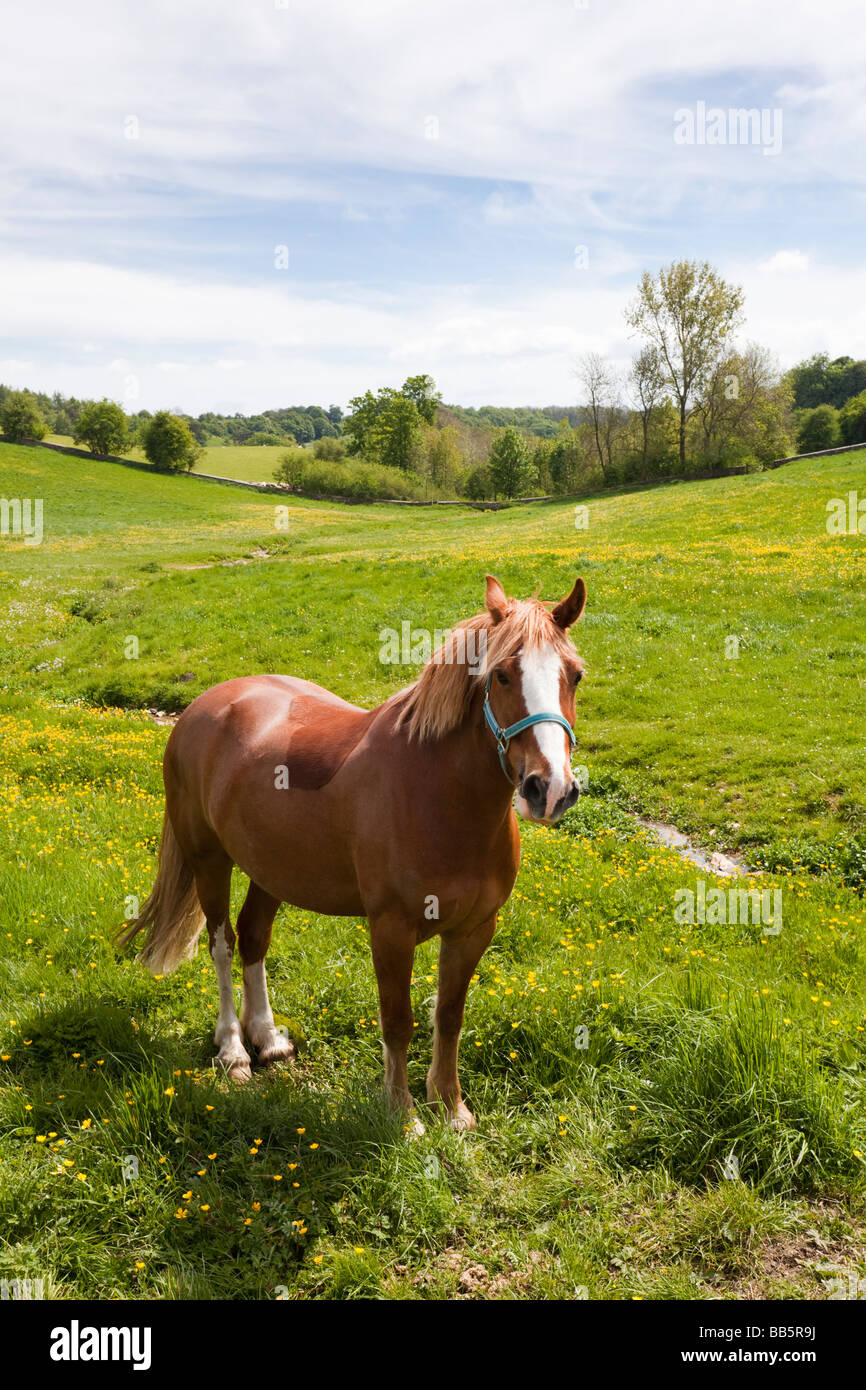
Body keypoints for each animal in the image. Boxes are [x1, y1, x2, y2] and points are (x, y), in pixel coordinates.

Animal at [119, 572, 587, 1131]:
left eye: (575, 676)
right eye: (501, 676)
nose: (550, 789)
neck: (439, 796)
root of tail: (203, 705)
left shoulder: (474, 929)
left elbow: (449, 1016)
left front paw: (452, 1109)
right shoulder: (390, 929)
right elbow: (398, 1021)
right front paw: (403, 1116)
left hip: (271, 870)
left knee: (254, 939)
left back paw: (268, 1040)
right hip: (210, 861)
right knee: (223, 945)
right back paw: (233, 1051)